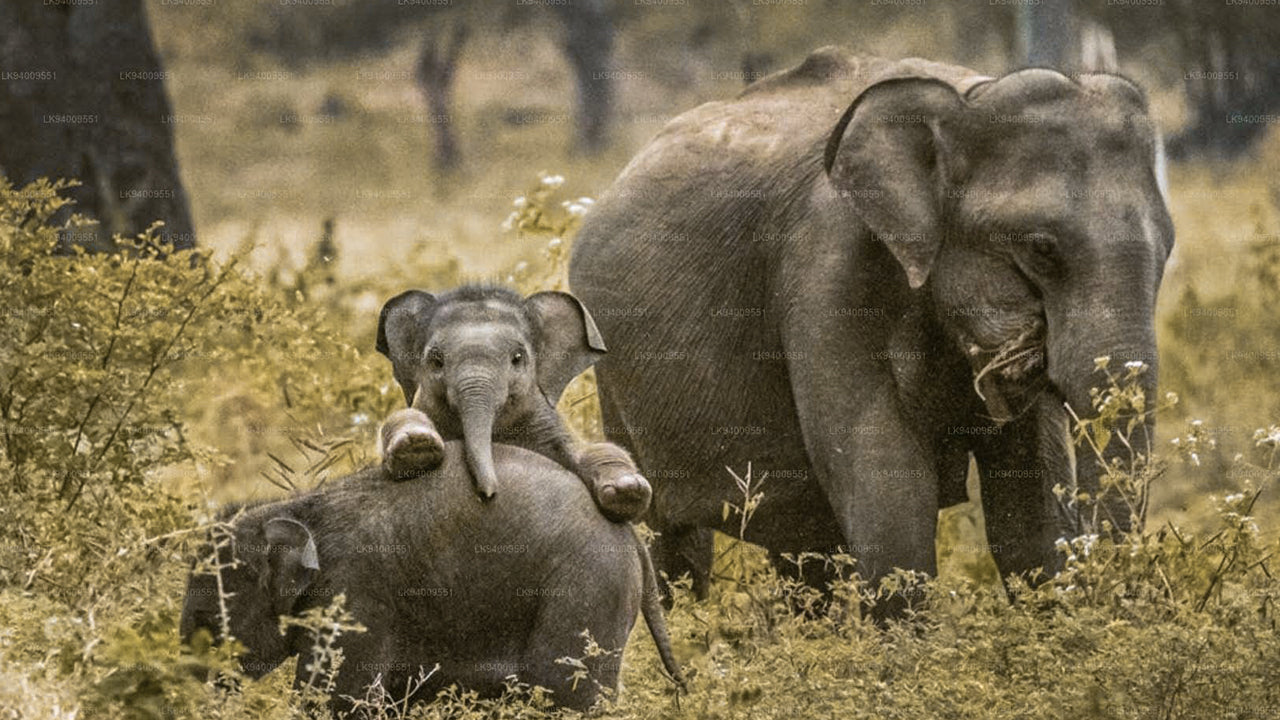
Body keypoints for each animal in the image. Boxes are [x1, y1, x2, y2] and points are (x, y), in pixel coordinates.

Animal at [179, 442, 683, 714]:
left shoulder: (354, 596)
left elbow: (337, 700)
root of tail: (631, 535)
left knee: (564, 691)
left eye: (207, 622)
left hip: (586, 587)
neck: (300, 506)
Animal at [375, 285, 652, 523]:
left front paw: (628, 490)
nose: (487, 495)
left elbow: (592, 450)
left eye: (517, 358)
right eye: (436, 360)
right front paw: (416, 446)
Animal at [568, 48, 1173, 603]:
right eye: (1042, 249)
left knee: (803, 545)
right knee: (670, 538)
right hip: (615, 376)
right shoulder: (827, 267)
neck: (969, 98)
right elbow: (887, 488)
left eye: (1167, 249)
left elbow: (1030, 510)